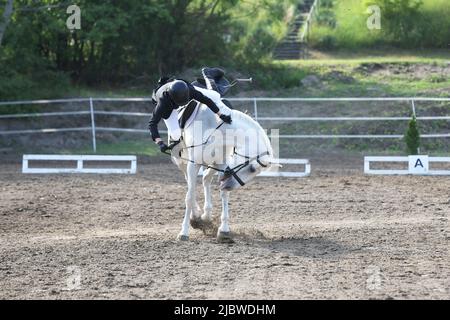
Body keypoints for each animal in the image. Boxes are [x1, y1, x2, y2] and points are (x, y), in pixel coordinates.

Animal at [171, 103, 274, 242]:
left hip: (213, 165)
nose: (229, 186)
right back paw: (196, 215)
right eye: (252, 169)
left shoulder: (223, 164)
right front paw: (184, 232)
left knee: (205, 179)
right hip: (183, 162)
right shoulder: (193, 164)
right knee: (190, 184)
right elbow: (189, 196)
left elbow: (224, 194)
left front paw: (224, 230)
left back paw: (206, 215)